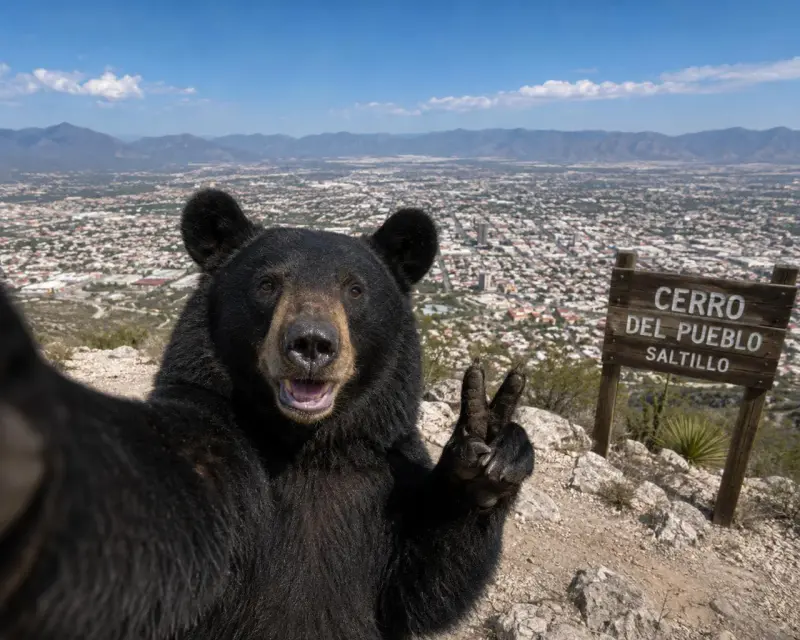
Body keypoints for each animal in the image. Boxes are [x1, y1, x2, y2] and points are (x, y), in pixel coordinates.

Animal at [0, 188, 535, 640]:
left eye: (356, 290)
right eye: (267, 284)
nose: (312, 344)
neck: (304, 443)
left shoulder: (385, 468)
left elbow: (422, 586)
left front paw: (487, 453)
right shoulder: (219, 444)